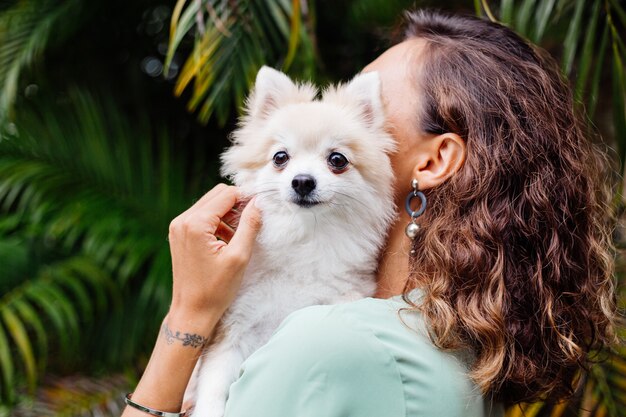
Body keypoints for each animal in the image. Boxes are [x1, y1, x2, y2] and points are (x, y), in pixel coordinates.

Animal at [189, 66, 394, 414]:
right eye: (280, 157)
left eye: (337, 160)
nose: (302, 181)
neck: (305, 237)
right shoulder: (234, 328)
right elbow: (214, 387)